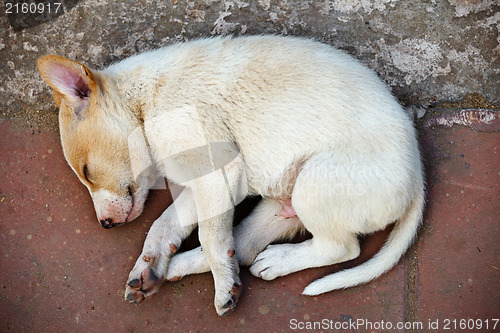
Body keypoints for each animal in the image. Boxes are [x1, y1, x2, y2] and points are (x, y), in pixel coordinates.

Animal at [37, 35, 424, 316]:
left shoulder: (219, 171)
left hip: (314, 185)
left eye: (87, 171)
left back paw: (273, 262)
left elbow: (209, 236)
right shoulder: (207, 183)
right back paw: (179, 266)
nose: (105, 225)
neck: (145, 106)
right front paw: (150, 263)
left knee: (342, 247)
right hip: (281, 205)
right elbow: (165, 225)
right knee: (246, 245)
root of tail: (418, 175)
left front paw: (223, 286)